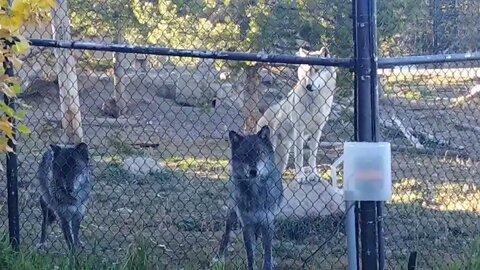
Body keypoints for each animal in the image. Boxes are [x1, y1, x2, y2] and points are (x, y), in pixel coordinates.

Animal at [213, 126, 282, 270]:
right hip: (231, 213)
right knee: (226, 234)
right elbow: (250, 254)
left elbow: (267, 253)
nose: (253, 171)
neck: (255, 192)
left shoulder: (267, 223)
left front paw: (269, 264)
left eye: (260, 153)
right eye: (245, 155)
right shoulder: (247, 225)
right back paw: (219, 258)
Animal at [255, 48, 338, 184]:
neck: (315, 102)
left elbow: (312, 156)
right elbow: (299, 157)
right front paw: (300, 177)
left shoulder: (318, 131)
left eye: (316, 70)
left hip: (283, 158)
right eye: (306, 72)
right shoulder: (299, 130)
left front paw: (314, 175)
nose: (308, 86)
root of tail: (261, 118)